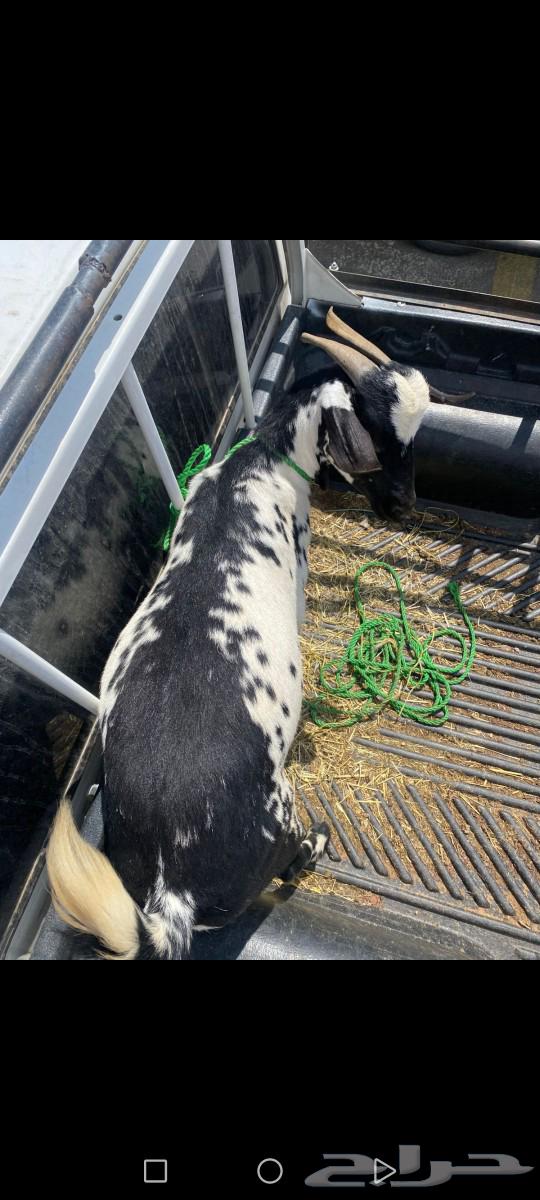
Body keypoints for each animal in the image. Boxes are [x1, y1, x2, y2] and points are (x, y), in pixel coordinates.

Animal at [46, 308, 463, 960]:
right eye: (379, 439)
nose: (405, 505)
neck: (258, 463)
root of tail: (171, 896)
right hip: (278, 812)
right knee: (288, 859)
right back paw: (316, 841)